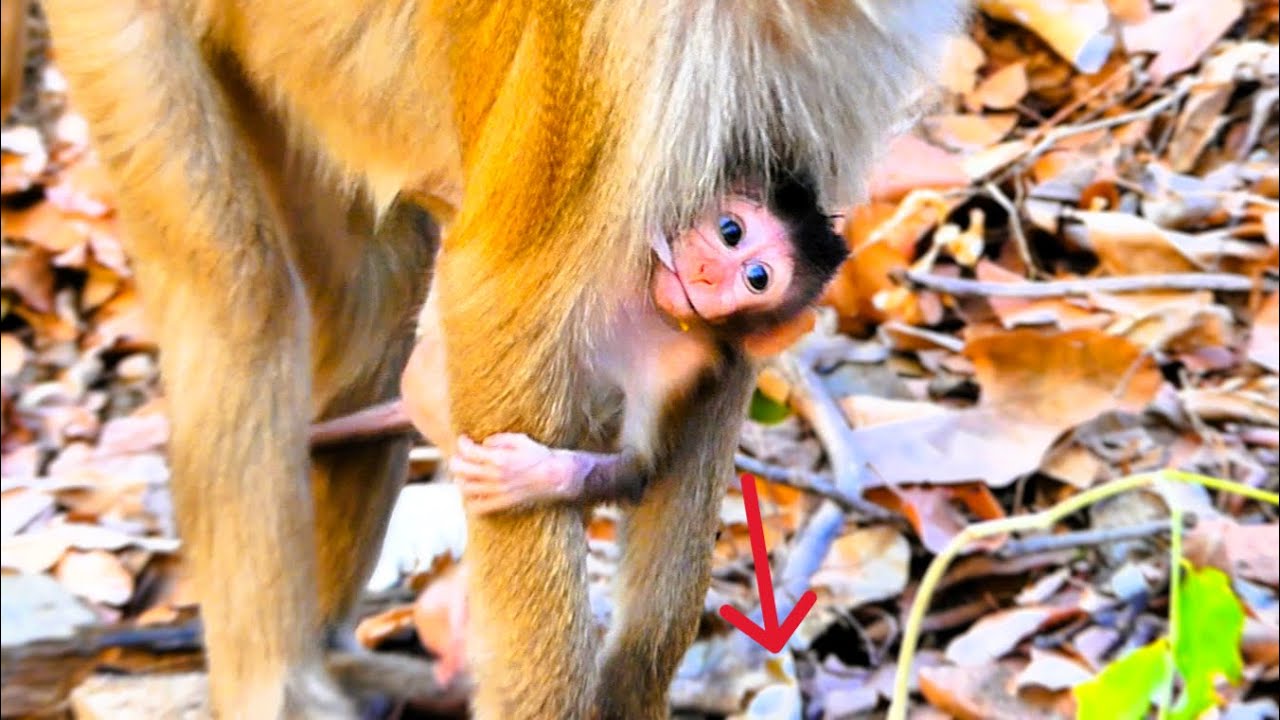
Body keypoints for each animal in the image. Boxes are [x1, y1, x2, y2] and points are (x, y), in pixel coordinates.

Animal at [39, 0, 965, 716]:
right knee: (243, 299)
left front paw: (635, 686)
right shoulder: (616, 46)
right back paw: (287, 687)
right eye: (730, 235)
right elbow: (496, 296)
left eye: (754, 269)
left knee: (378, 297)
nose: (707, 273)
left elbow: (716, 377)